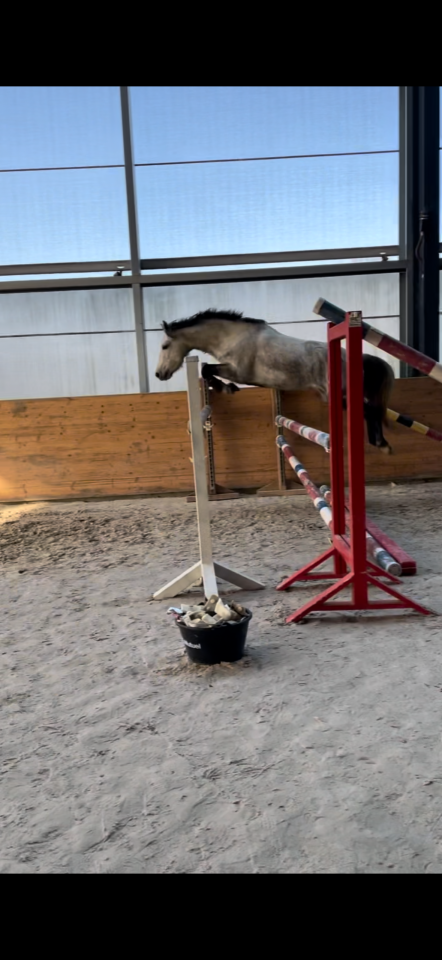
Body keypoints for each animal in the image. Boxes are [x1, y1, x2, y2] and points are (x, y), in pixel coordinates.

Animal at [155, 308, 395, 454]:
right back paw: (379, 444)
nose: (159, 374)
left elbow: (206, 369)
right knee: (369, 410)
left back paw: (382, 444)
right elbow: (207, 369)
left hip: (338, 395)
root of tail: (356, 359)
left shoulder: (238, 371)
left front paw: (226, 387)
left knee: (370, 410)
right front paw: (225, 387)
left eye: (165, 346)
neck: (231, 337)